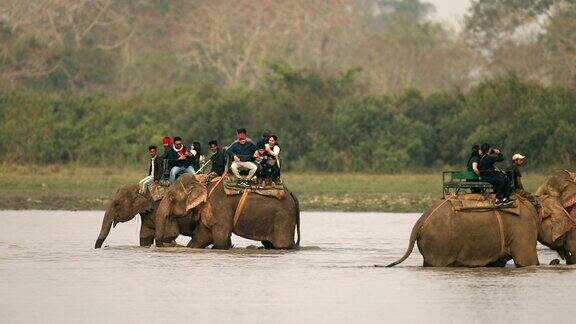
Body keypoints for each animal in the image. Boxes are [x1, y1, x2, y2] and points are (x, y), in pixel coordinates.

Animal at [153, 173, 302, 249]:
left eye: (172, 196)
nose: (166, 243)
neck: (202, 181)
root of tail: (291, 194)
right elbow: (202, 237)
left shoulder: (221, 207)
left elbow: (220, 238)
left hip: (283, 218)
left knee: (281, 244)